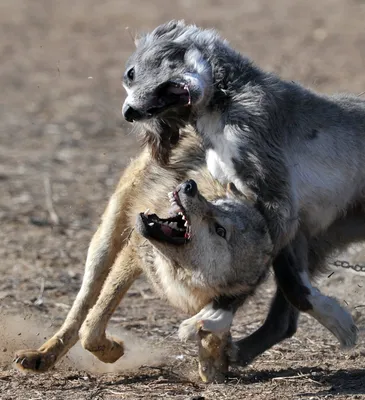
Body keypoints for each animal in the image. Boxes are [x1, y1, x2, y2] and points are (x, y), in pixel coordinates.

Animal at [121, 20, 362, 366]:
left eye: (130, 73)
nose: (128, 112)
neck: (225, 101)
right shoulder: (277, 214)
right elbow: (288, 282)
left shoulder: (277, 203)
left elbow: (274, 278)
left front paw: (214, 315)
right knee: (283, 322)